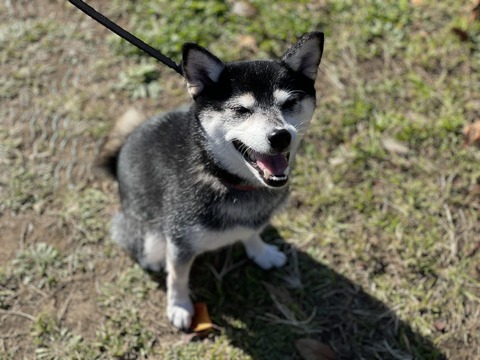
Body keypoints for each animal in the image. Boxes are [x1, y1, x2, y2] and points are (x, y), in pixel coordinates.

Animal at [97, 32, 322, 330]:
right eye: (241, 109)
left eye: (289, 103)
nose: (280, 136)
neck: (224, 179)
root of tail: (120, 153)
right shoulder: (179, 242)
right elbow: (178, 276)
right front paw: (179, 306)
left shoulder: (253, 218)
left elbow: (252, 231)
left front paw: (261, 252)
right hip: (148, 238)